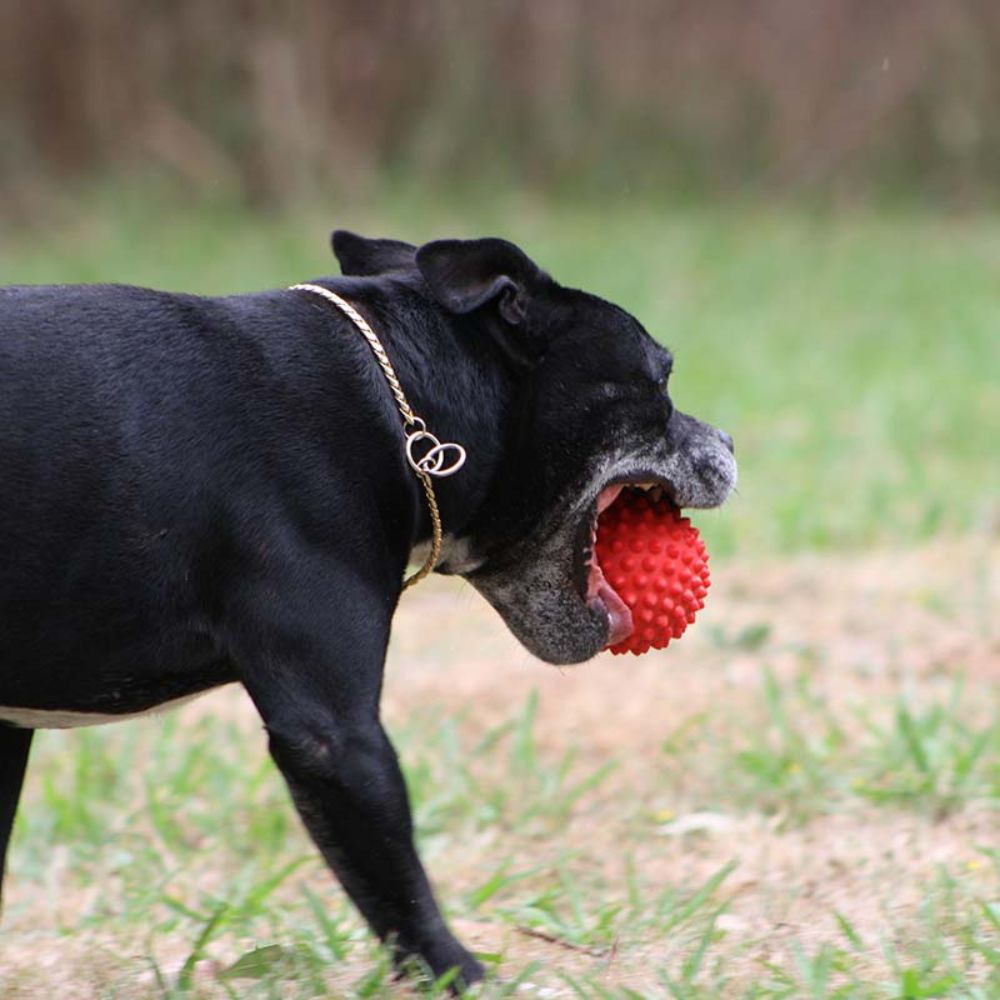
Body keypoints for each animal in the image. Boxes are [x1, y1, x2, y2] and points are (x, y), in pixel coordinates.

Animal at [0, 232, 736, 984]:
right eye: (660, 381)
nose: (729, 444)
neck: (397, 404)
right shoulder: (335, 735)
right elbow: (400, 890)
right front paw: (464, 977)